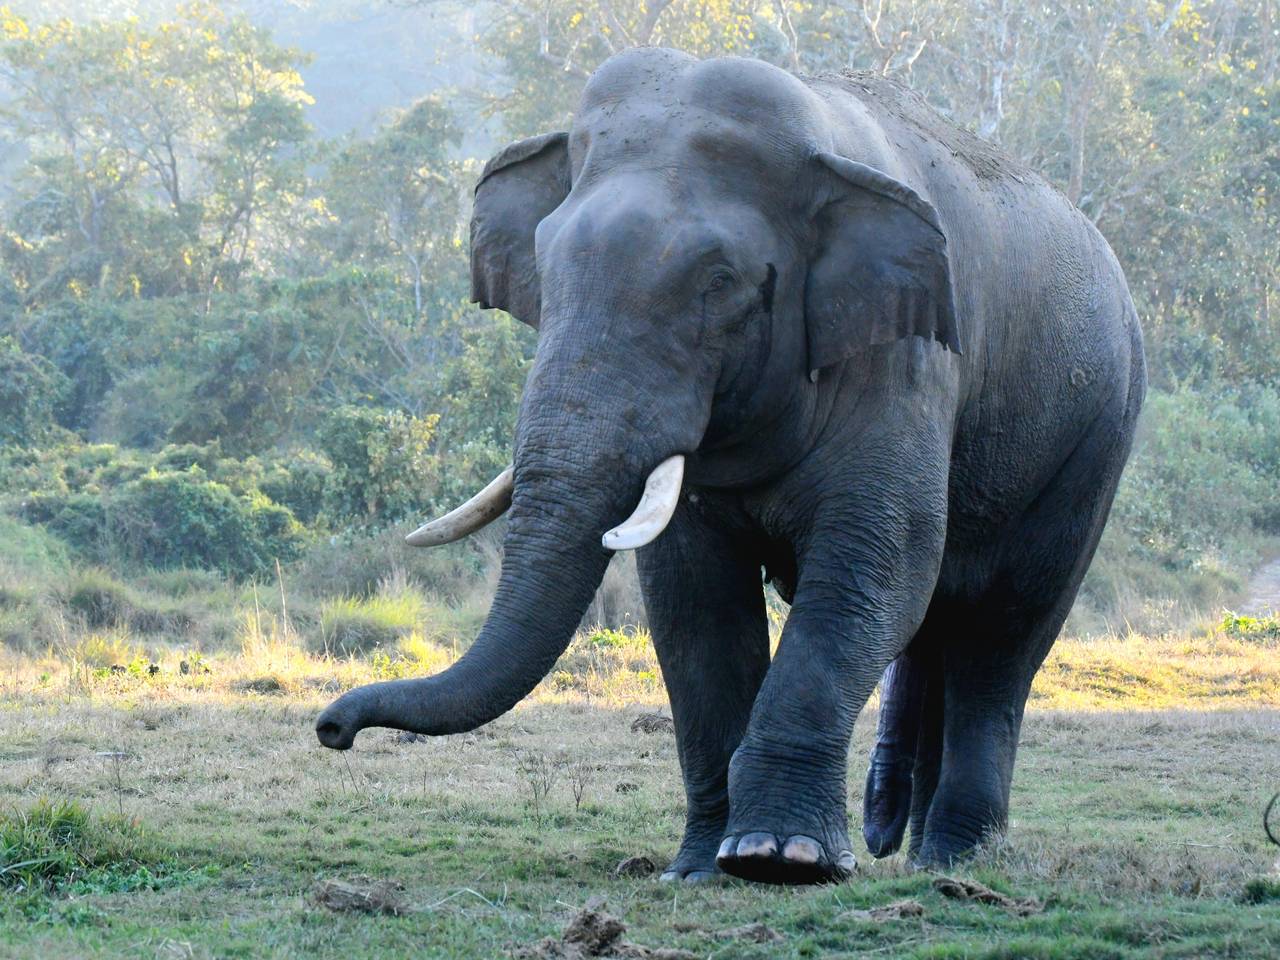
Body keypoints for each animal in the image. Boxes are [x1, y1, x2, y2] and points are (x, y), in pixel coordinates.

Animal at [316, 47, 1146, 886]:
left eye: (718, 283)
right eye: (543, 269)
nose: (331, 728)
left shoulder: (904, 363)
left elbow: (875, 565)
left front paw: (780, 856)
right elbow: (693, 600)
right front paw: (700, 868)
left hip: (1095, 437)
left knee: (1002, 633)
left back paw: (954, 857)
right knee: (940, 626)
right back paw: (912, 850)